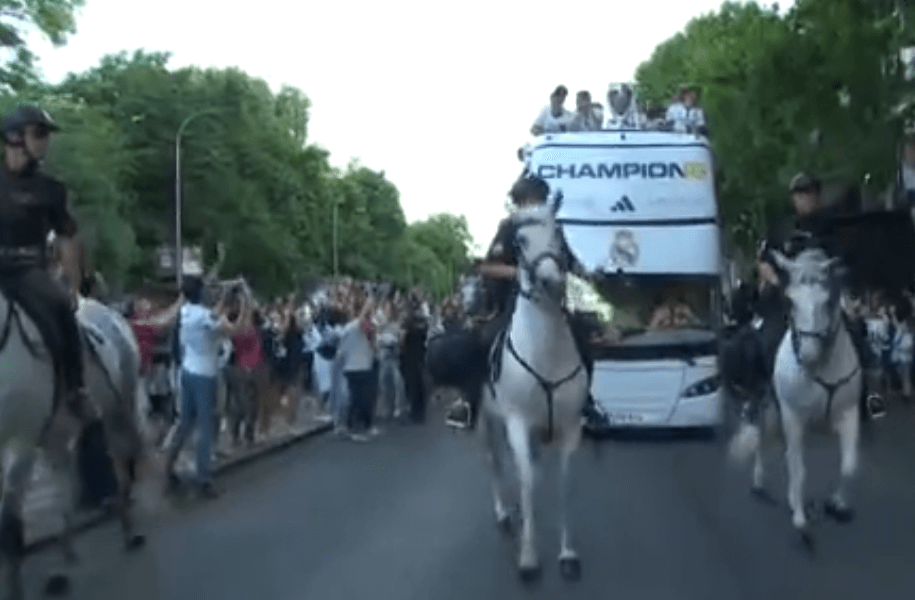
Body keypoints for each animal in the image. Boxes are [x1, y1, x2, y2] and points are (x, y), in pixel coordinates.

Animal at [476, 199, 592, 580]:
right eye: (519, 241)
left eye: (559, 235)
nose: (551, 281)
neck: (546, 352)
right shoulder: (516, 422)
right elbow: (525, 480)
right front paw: (528, 556)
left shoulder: (570, 426)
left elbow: (565, 484)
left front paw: (567, 553)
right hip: (487, 420)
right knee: (495, 462)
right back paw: (504, 512)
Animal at [728, 248, 864, 552]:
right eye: (790, 300)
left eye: (828, 301)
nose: (808, 355)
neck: (822, 368)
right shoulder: (793, 417)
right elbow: (798, 469)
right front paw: (801, 524)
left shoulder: (848, 414)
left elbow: (849, 466)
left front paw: (837, 504)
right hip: (766, 404)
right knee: (761, 439)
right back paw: (760, 484)